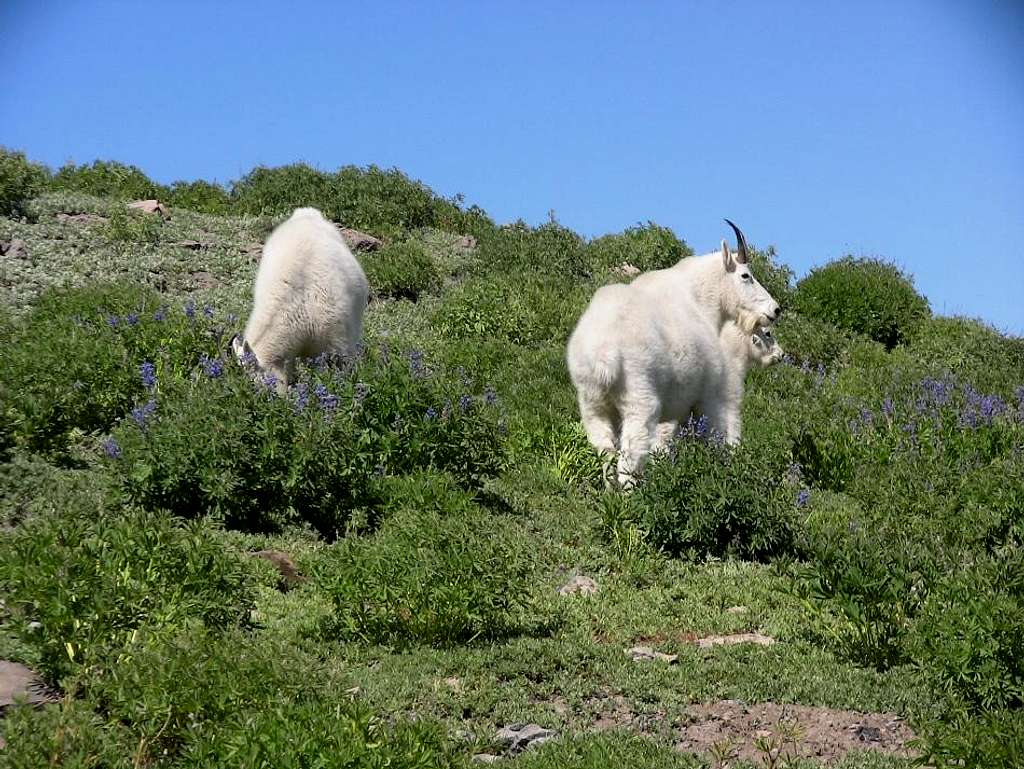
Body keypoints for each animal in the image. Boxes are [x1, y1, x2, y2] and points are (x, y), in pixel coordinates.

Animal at [565, 218, 778, 487]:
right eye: (745, 275)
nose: (775, 309)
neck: (699, 300)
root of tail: (602, 352)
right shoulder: (706, 397)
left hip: (593, 405)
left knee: (605, 452)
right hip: (640, 400)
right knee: (631, 454)